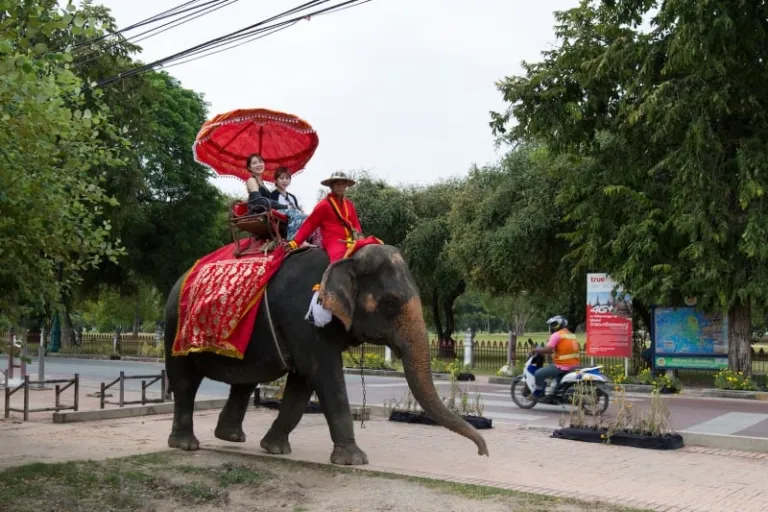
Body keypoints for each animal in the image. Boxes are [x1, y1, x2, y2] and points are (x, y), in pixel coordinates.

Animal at [163, 243, 489, 465]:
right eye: (390, 304)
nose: (483, 453)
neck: (347, 256)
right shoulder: (302, 317)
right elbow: (324, 374)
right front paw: (355, 461)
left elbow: (302, 383)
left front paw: (275, 449)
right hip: (173, 328)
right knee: (185, 382)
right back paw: (186, 445)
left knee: (244, 381)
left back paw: (230, 437)